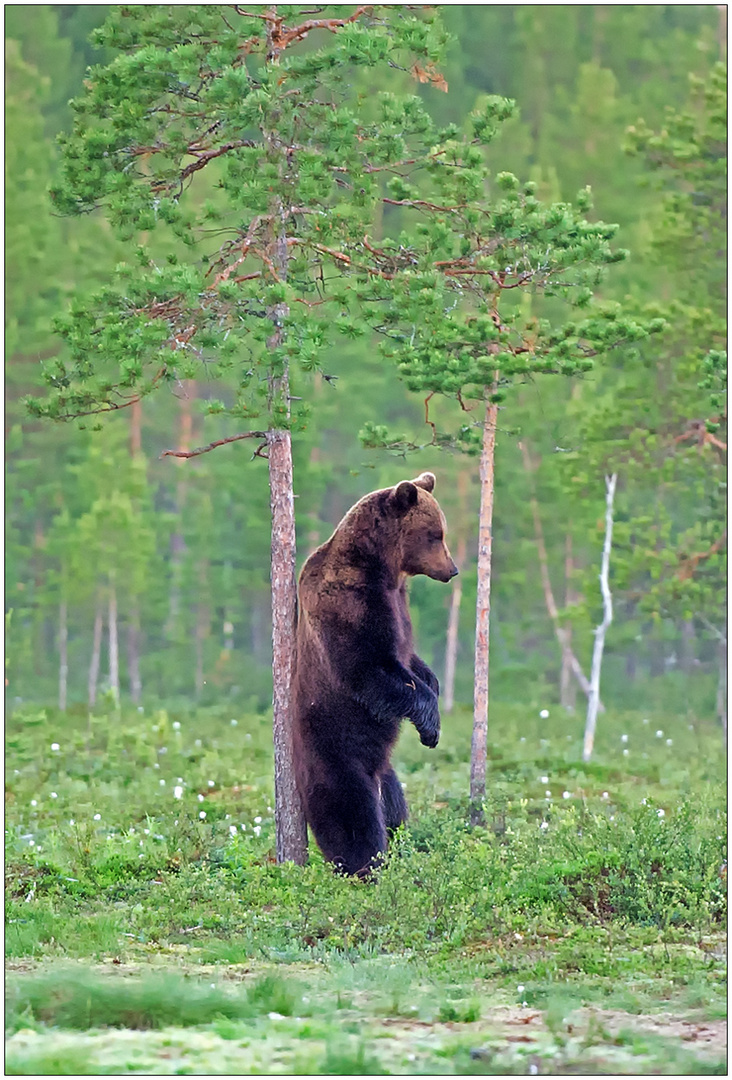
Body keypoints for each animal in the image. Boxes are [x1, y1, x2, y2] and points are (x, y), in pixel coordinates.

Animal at [293, 473, 457, 876]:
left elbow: (410, 659)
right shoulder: (350, 601)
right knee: (352, 812)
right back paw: (364, 867)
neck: (382, 568)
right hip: (334, 752)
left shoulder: (398, 603)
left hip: (387, 772)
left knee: (396, 809)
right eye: (436, 534)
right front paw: (430, 726)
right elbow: (369, 668)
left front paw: (433, 687)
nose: (452, 570)